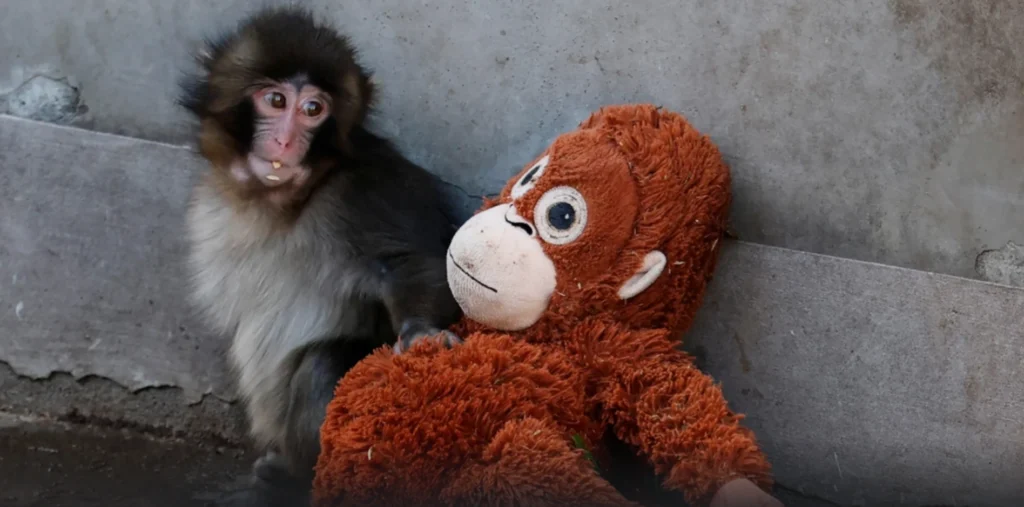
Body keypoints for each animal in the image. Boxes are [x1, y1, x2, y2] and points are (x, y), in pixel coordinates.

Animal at [177, 7, 464, 505]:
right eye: (275, 100)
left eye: (313, 110)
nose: (287, 141)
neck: (285, 201)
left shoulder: (365, 190)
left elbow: (412, 263)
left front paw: (421, 333)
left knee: (323, 366)